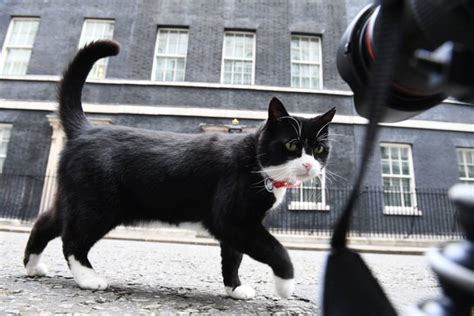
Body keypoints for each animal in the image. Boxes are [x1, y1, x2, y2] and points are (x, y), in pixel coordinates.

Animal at [21, 40, 334, 300]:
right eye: (292, 145)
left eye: (319, 149)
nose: (309, 164)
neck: (257, 165)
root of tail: (85, 129)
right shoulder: (233, 220)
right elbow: (275, 249)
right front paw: (285, 286)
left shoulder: (238, 227)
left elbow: (233, 257)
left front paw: (234, 289)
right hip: (98, 206)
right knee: (72, 240)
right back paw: (88, 278)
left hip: (74, 199)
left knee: (46, 223)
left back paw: (33, 266)